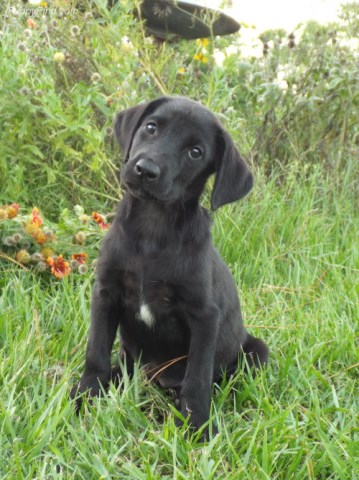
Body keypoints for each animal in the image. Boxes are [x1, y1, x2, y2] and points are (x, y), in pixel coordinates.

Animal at [71, 96, 270, 436]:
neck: (154, 229)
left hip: (256, 351)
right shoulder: (105, 293)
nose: (145, 169)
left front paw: (197, 426)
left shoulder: (204, 316)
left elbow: (198, 377)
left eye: (196, 152)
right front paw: (84, 397)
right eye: (151, 127)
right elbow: (95, 354)